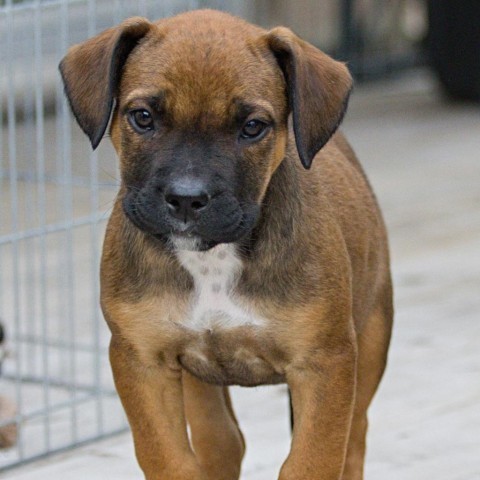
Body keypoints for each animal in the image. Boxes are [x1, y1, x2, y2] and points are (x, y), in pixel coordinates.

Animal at [60, 8, 394, 480]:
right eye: (142, 117)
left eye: (252, 127)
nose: (186, 198)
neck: (212, 261)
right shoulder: (142, 360)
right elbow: (168, 458)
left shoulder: (324, 363)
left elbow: (311, 461)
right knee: (221, 440)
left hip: (371, 336)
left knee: (354, 440)